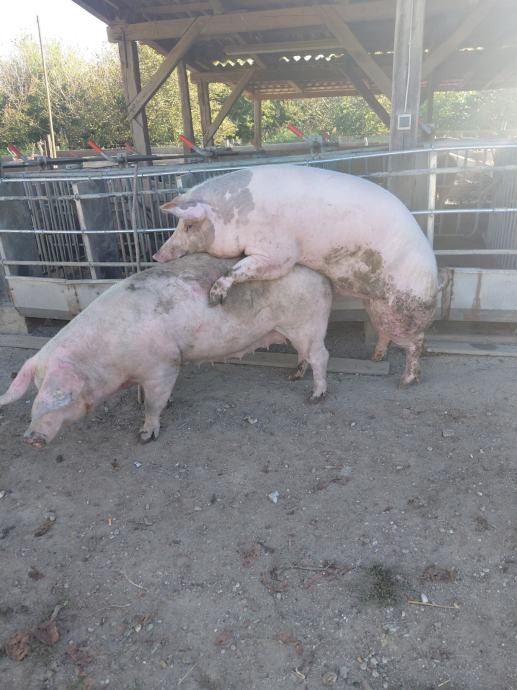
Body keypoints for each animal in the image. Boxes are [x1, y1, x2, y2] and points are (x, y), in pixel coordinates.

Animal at [0, 254, 332, 448]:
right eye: (37, 387)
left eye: (60, 394)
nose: (30, 438)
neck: (108, 358)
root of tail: (322, 278)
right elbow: (147, 398)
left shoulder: (163, 365)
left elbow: (153, 404)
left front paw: (145, 436)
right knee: (304, 355)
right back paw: (293, 376)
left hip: (308, 322)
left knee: (321, 356)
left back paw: (315, 397)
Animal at [154, 165, 439, 387]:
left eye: (189, 226)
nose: (157, 256)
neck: (235, 216)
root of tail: (434, 277)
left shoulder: (278, 253)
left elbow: (241, 268)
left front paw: (214, 298)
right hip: (375, 306)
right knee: (384, 333)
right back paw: (374, 358)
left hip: (402, 307)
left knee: (416, 342)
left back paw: (406, 382)